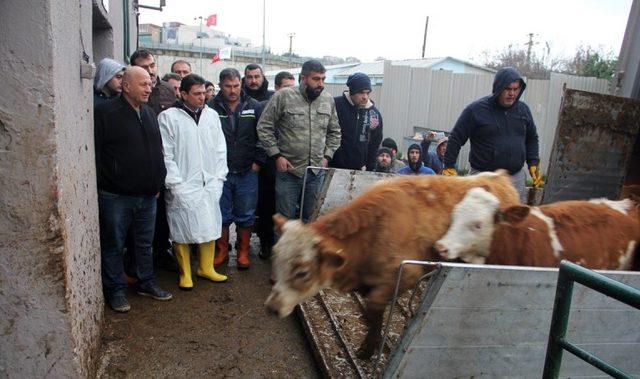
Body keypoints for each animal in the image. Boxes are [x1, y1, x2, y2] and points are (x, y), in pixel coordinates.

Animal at [264, 170, 520, 360]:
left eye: (302, 272)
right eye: (276, 257)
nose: (272, 308)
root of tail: (500, 176)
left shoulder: (405, 274)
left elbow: (374, 309)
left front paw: (369, 348)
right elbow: (371, 314)